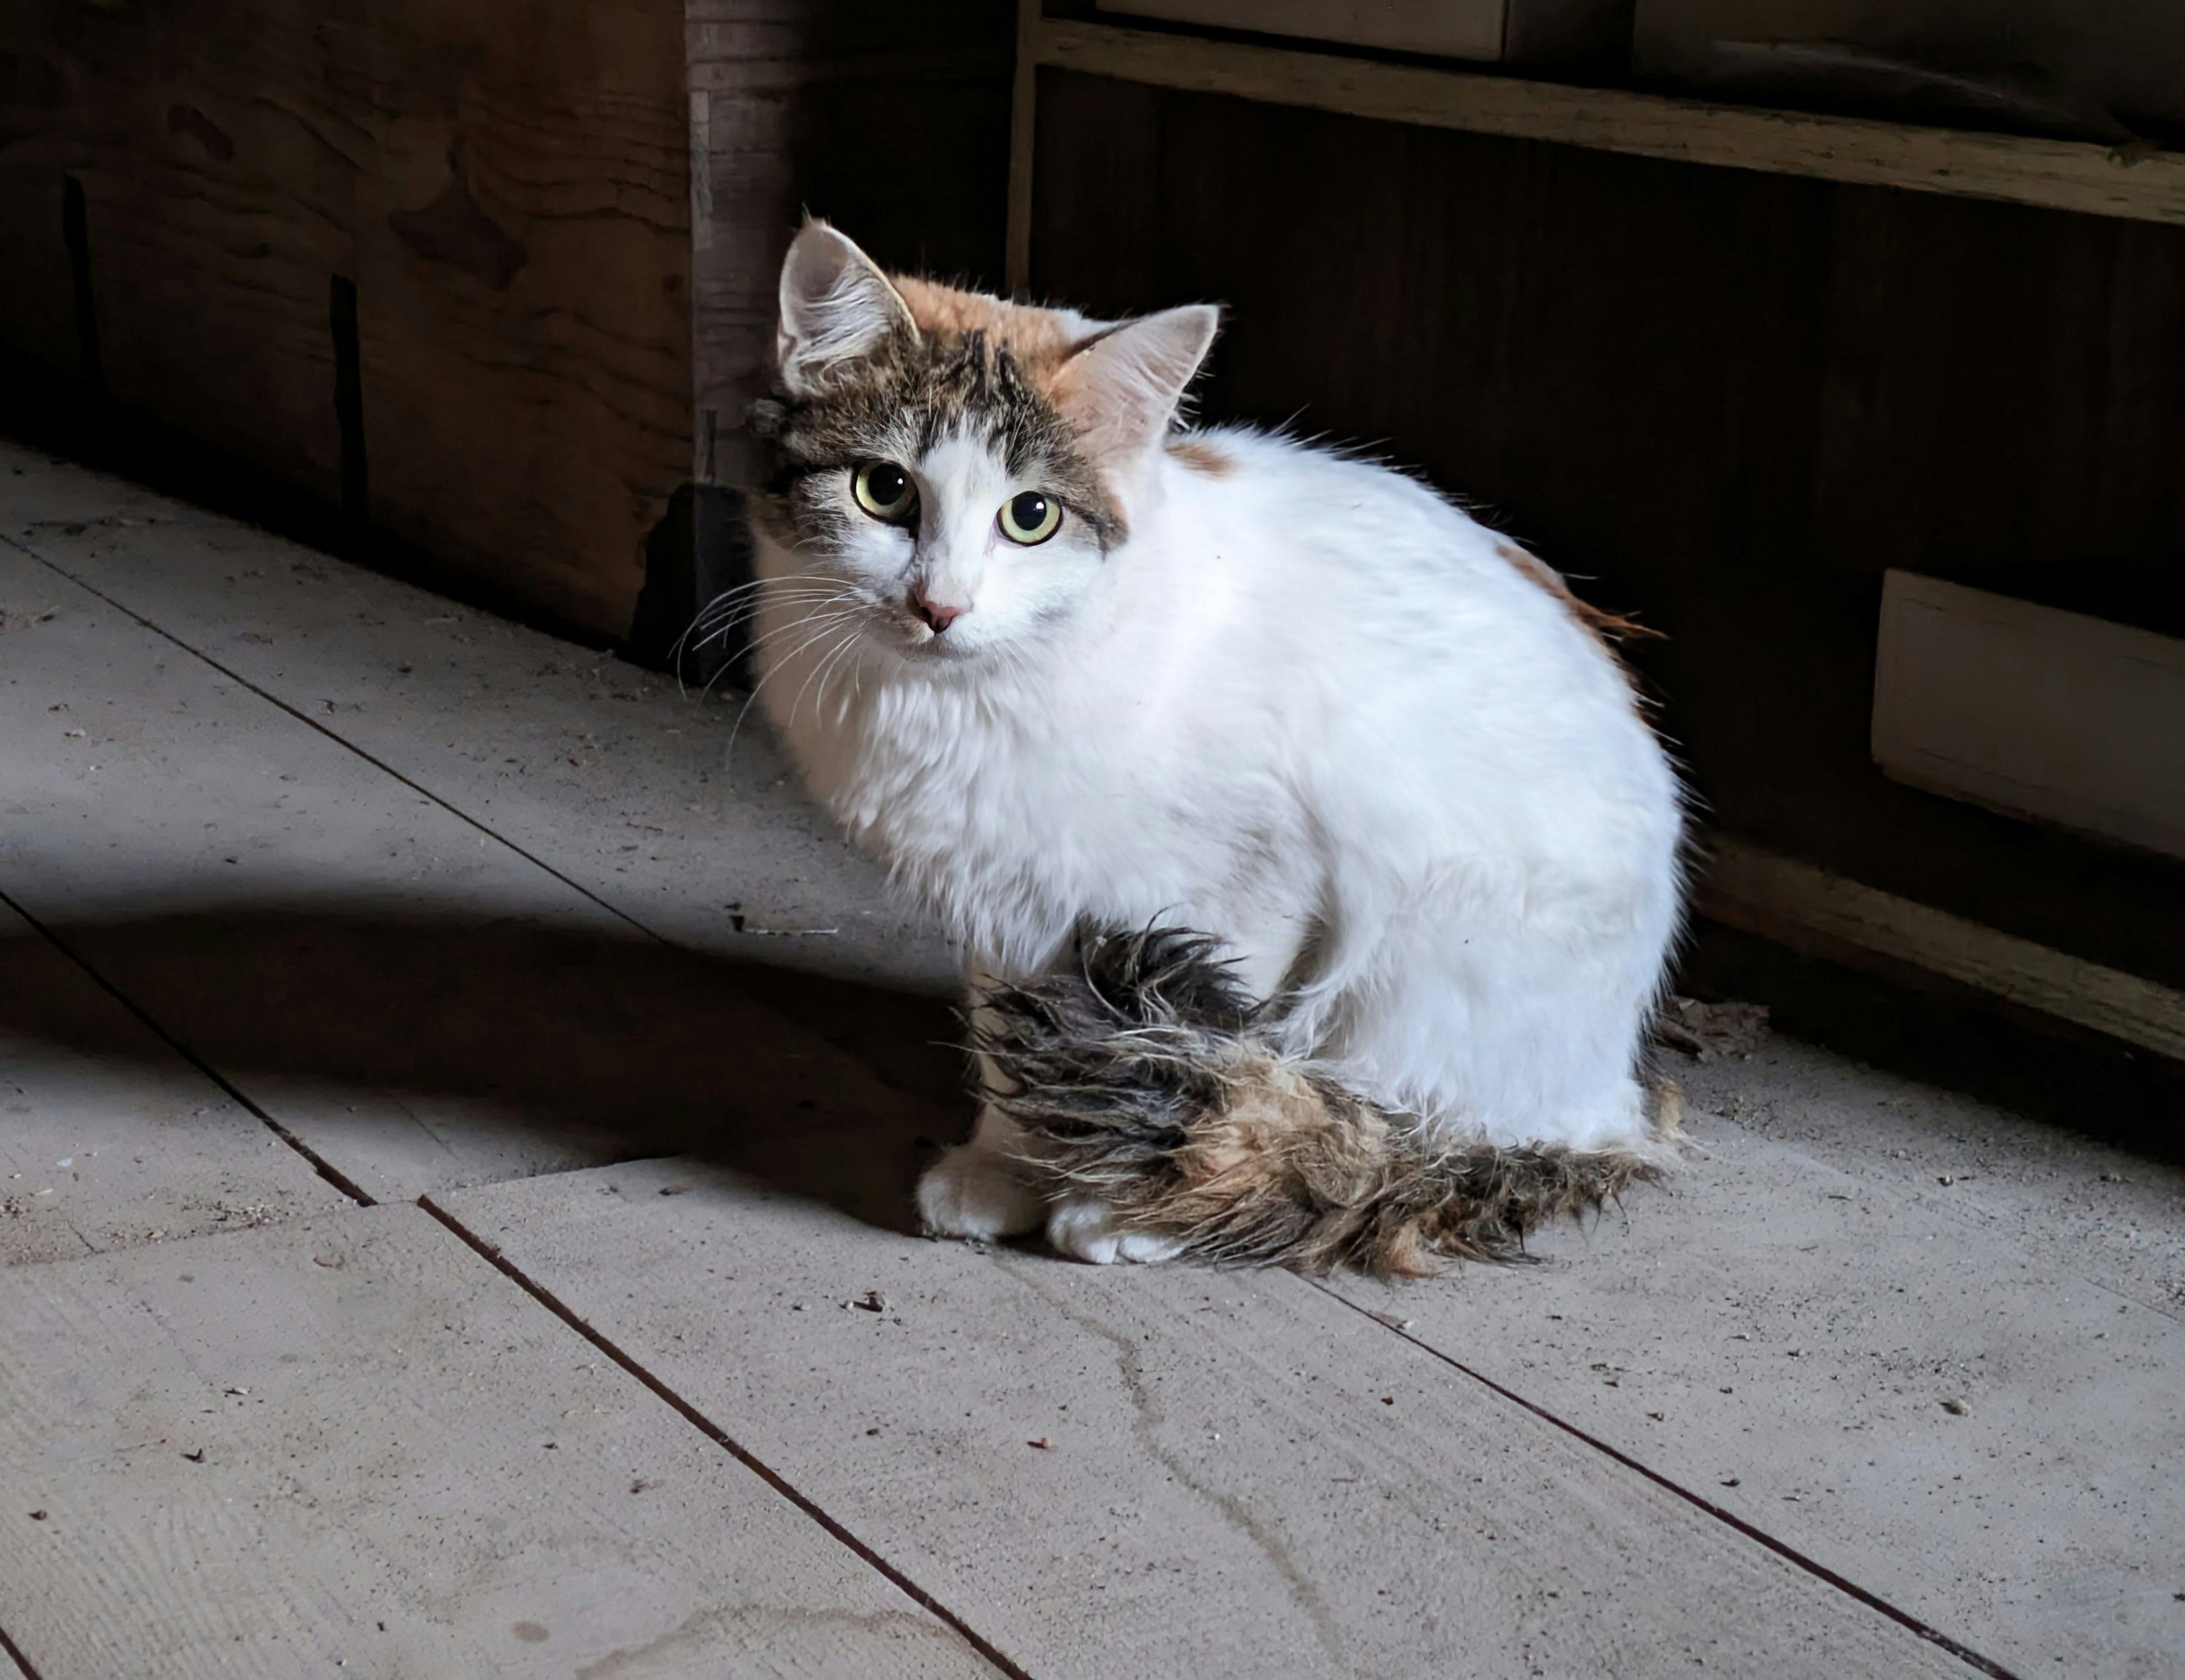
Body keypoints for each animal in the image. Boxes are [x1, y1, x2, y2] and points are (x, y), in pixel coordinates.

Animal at [743, 222, 1678, 1276]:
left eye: (1031, 518)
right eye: (884, 490)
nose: (939, 607)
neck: (975, 698)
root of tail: (1612, 1102)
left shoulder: (1251, 894)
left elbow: (1194, 1056)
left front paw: (1138, 1204)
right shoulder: (1012, 895)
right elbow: (1015, 1045)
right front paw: (1009, 1168)